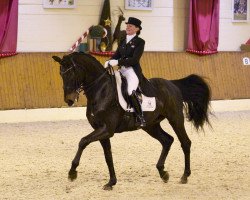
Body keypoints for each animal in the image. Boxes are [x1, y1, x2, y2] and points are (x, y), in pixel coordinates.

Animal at [52, 52, 211, 190]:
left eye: (72, 72)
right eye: (61, 74)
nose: (69, 100)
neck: (101, 91)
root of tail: (172, 84)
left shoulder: (107, 129)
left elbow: (83, 141)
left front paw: (72, 173)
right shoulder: (102, 131)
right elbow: (108, 156)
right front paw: (111, 182)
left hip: (175, 118)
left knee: (185, 142)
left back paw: (184, 176)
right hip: (151, 125)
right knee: (167, 140)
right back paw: (163, 173)